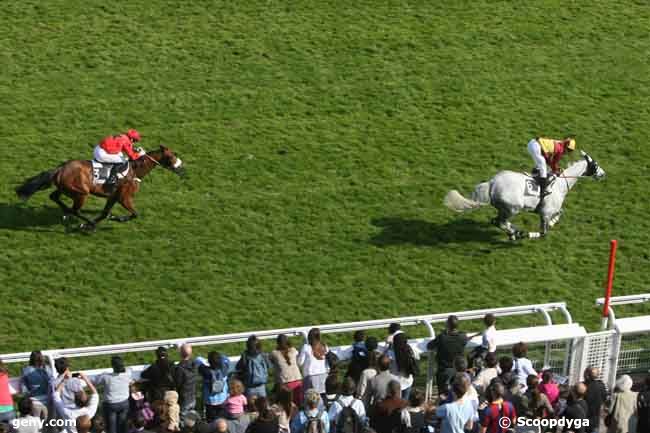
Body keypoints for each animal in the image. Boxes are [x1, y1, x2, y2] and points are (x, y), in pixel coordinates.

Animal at [15, 145, 182, 230]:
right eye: (171, 156)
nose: (181, 167)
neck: (135, 170)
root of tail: (60, 168)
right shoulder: (124, 197)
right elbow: (134, 214)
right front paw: (115, 218)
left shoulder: (114, 197)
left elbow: (104, 213)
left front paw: (109, 217)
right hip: (81, 193)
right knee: (75, 209)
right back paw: (86, 222)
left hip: (66, 189)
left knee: (54, 197)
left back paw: (68, 214)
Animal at [442, 151, 604, 240]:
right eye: (595, 165)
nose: (603, 174)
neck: (560, 184)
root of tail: (492, 183)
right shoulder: (545, 213)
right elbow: (544, 232)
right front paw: (531, 233)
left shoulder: (549, 211)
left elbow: (560, 213)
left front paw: (553, 222)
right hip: (512, 208)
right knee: (500, 222)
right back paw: (517, 233)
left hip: (504, 209)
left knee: (497, 222)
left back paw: (513, 232)